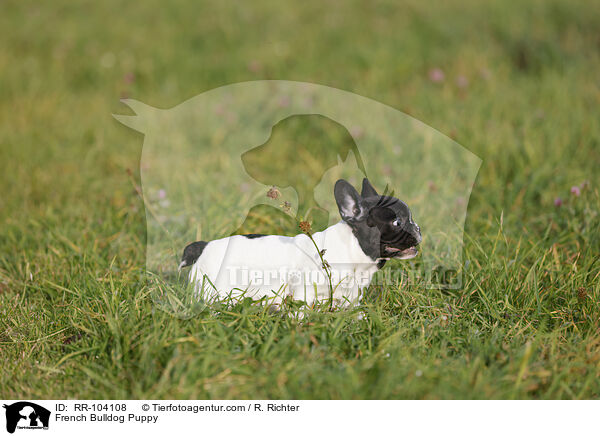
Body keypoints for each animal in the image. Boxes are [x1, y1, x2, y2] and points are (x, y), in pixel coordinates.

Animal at [180, 177, 420, 306]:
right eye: (397, 222)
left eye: (410, 218)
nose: (417, 227)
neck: (353, 249)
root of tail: (204, 246)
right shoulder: (305, 288)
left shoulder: (350, 294)